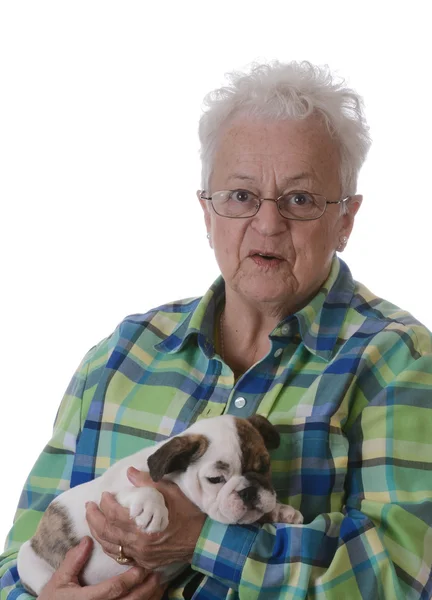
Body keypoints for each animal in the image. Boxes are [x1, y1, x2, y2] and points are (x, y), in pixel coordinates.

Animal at [17, 414, 304, 592]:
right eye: (215, 479)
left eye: (264, 467)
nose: (249, 491)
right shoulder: (109, 498)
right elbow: (146, 490)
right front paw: (152, 509)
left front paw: (281, 511)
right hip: (32, 564)